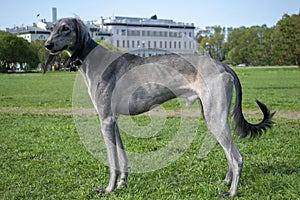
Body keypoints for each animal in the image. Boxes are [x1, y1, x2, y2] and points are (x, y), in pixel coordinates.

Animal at [44, 17, 274, 197]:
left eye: (66, 28)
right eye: (51, 28)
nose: (47, 44)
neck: (94, 58)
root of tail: (222, 64)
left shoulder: (106, 120)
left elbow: (112, 160)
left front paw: (109, 188)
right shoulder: (113, 120)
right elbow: (122, 157)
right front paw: (122, 182)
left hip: (215, 117)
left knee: (237, 158)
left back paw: (232, 192)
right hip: (212, 116)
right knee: (229, 154)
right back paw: (225, 182)